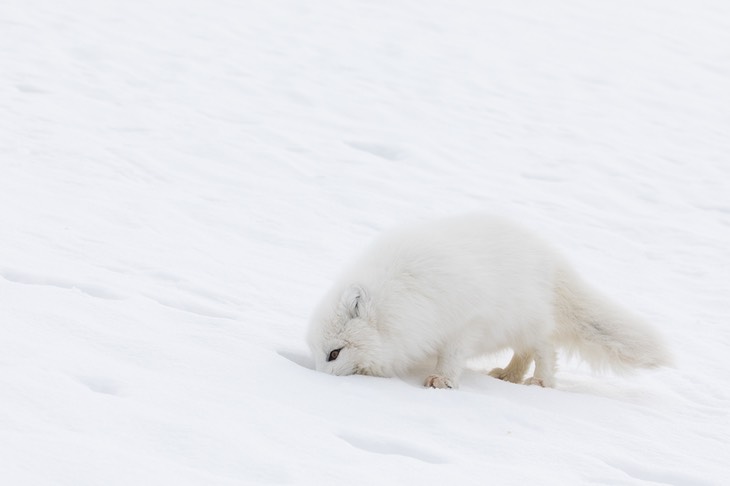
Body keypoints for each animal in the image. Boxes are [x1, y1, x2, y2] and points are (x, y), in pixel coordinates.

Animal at [304, 215, 668, 390]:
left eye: (334, 354)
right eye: (319, 356)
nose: (321, 380)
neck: (398, 301)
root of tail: (551, 259)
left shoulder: (466, 322)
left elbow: (451, 356)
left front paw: (442, 381)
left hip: (527, 320)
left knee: (546, 349)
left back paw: (541, 381)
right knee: (524, 351)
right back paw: (508, 375)